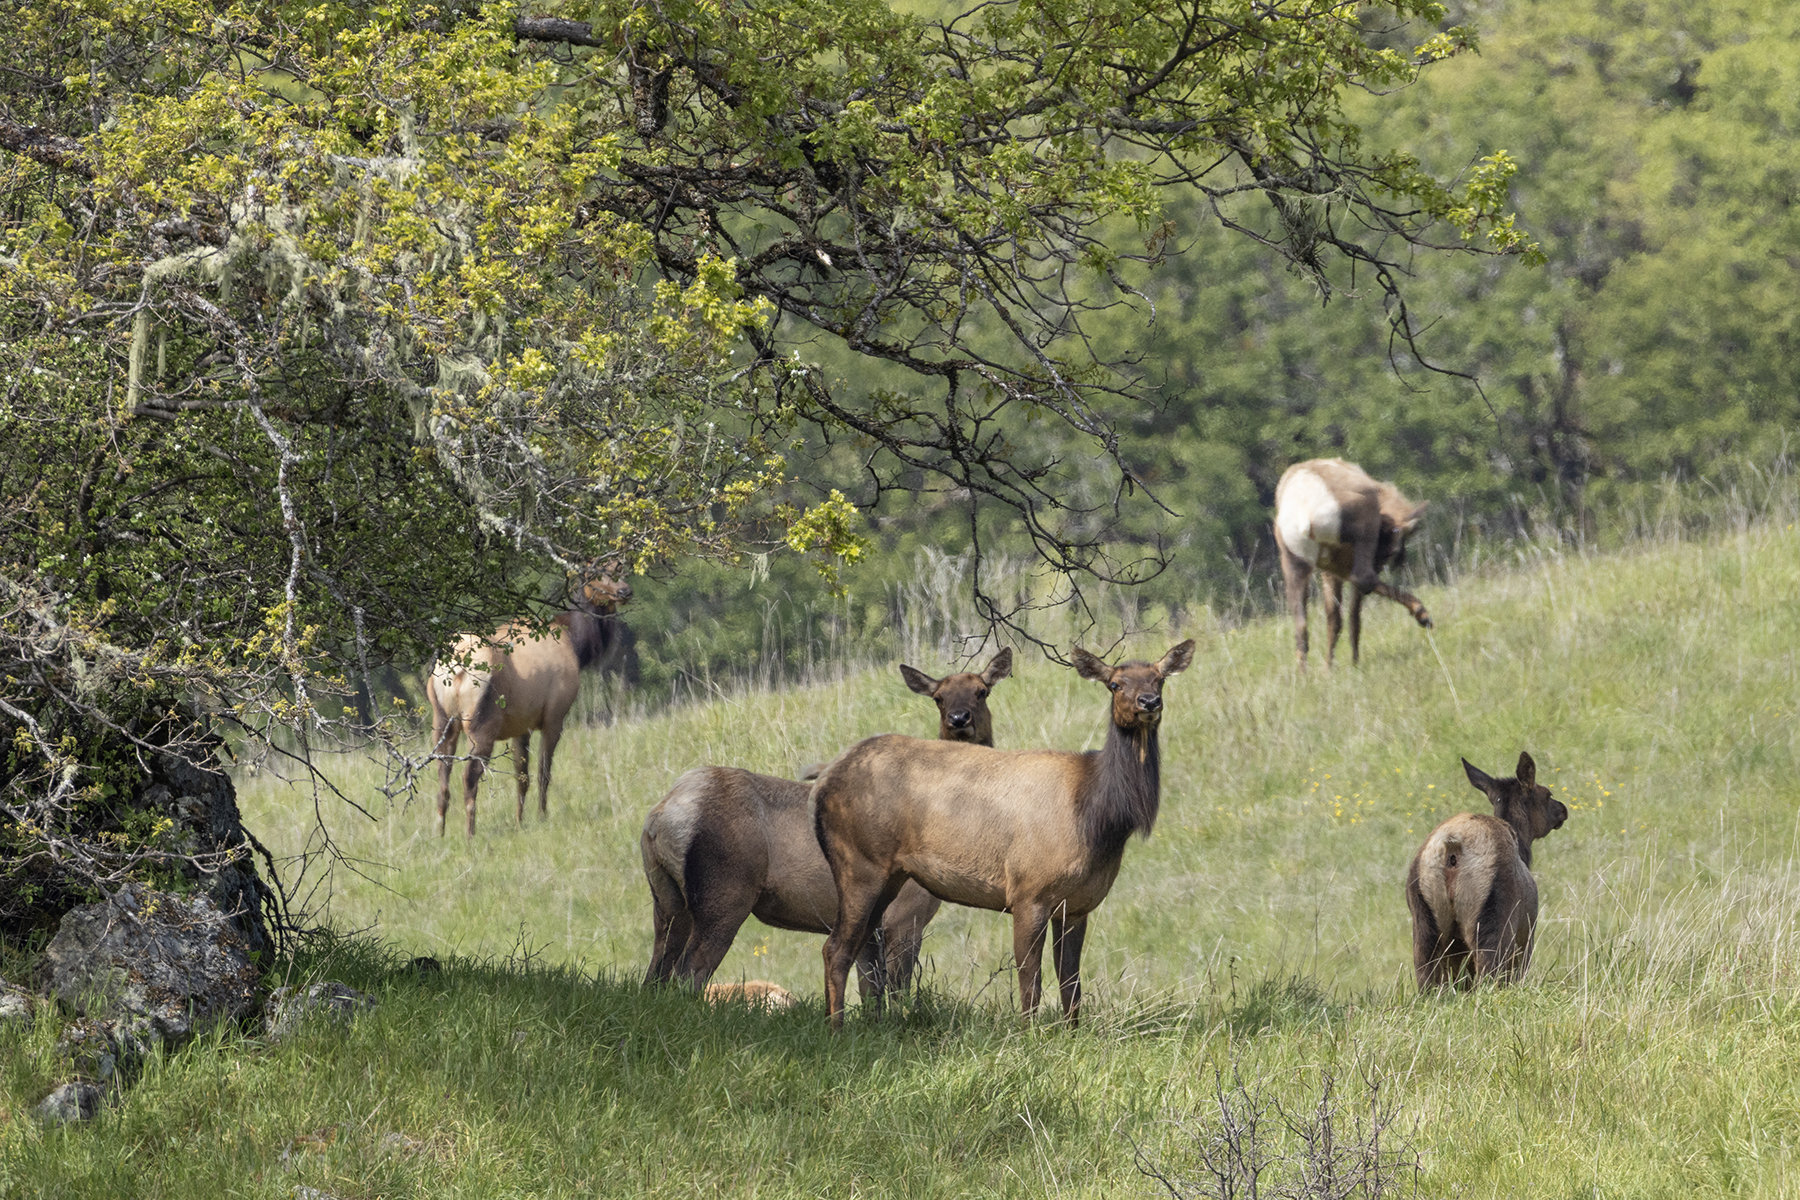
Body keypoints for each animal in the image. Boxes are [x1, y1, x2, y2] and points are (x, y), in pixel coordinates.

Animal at [425, 576, 632, 837]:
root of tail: (457, 666)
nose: (624, 591)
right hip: (482, 725)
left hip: (442, 721)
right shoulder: (554, 717)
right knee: (469, 777)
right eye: (594, 574)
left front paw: (519, 821)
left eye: (619, 568)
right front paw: (542, 816)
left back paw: (440, 835)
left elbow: (521, 777)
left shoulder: (521, 725)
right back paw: (470, 835)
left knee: (442, 777)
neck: (577, 645)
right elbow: (544, 772)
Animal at [640, 649, 1013, 998]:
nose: (959, 719)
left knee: (653, 978)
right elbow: (897, 993)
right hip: (724, 892)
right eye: (939, 697)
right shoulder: (904, 917)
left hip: (667, 901)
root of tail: (659, 818)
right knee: (688, 975)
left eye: (981, 691)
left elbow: (870, 994)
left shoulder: (875, 929)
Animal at [814, 640, 1194, 1028]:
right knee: (835, 948)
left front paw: (1072, 1031)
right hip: (858, 864)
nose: (1149, 701)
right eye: (1115, 684)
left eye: (1160, 678)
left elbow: (1071, 982)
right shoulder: (1028, 892)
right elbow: (1030, 980)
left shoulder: (1078, 905)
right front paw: (1029, 1033)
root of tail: (823, 787)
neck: (1098, 820)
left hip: (887, 877)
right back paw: (837, 1029)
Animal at [1274, 457, 1432, 668]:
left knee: (1301, 625)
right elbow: (1353, 612)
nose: (1398, 559)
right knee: (1363, 581)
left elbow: (1333, 617)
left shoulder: (1329, 570)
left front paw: (1328, 668)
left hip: (1295, 566)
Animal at [1405, 751, 1569, 990]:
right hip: (1493, 921)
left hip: (1424, 925)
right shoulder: (1525, 936)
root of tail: (1452, 847)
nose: (1563, 809)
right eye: (1547, 794)